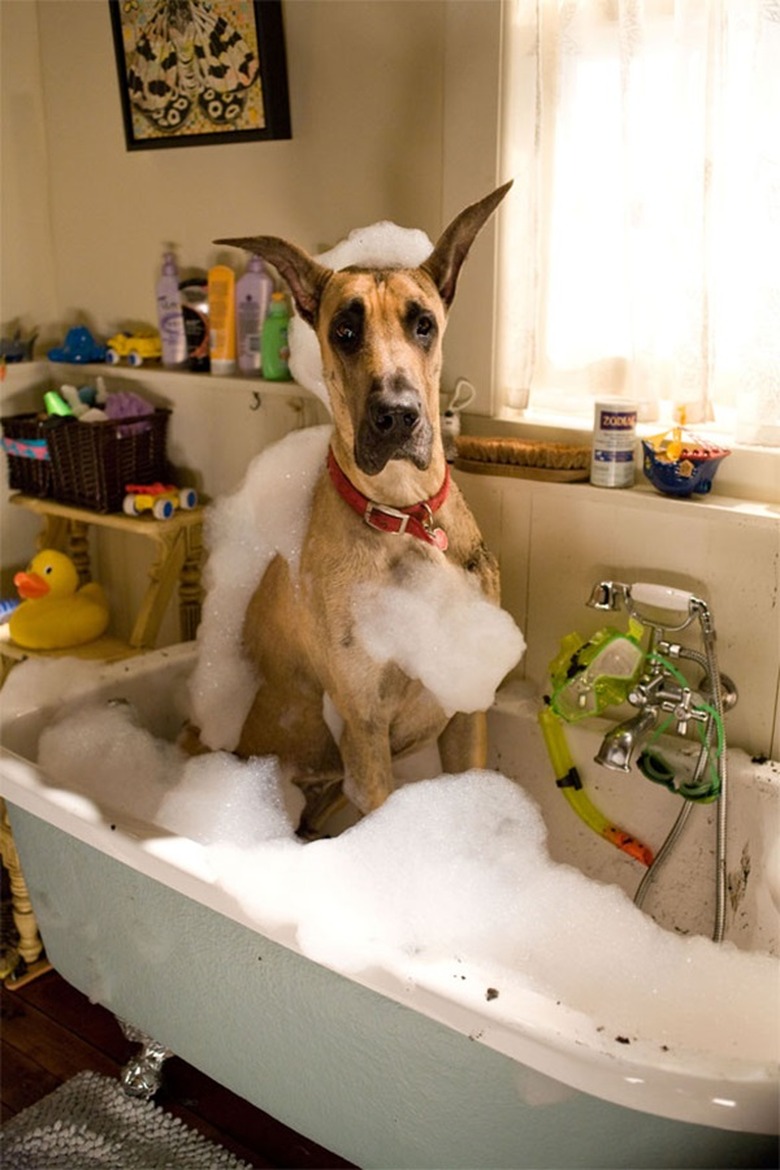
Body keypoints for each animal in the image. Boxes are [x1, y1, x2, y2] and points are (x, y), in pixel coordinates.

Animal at [215, 180, 512, 823]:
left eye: (423, 325)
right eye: (344, 332)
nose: (397, 414)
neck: (405, 515)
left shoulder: (468, 707)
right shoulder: (365, 726)